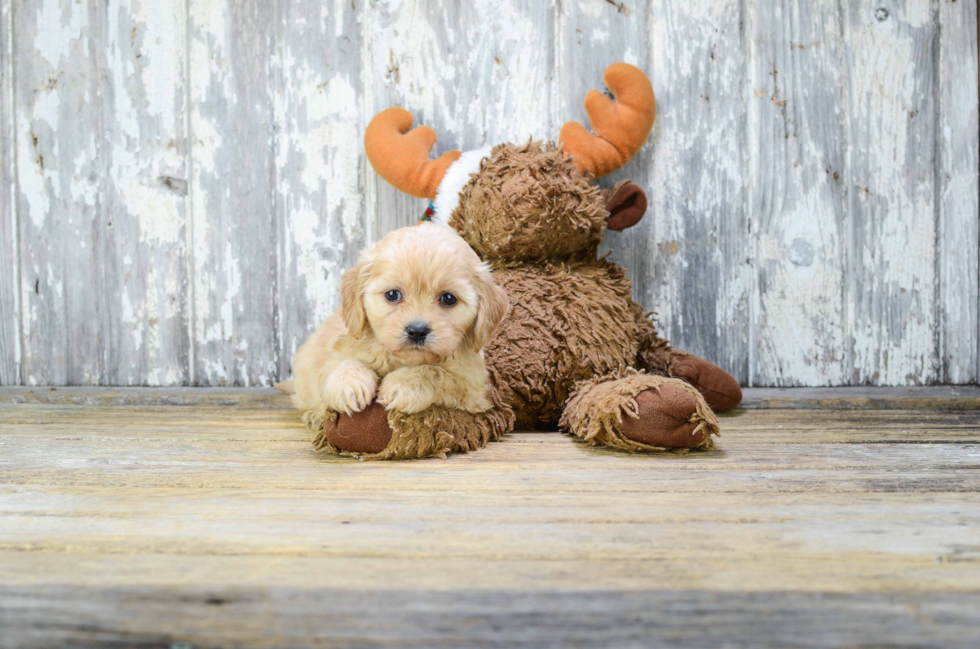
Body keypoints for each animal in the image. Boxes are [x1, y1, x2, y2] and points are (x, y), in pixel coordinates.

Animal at [290, 223, 510, 430]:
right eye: (392, 294)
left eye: (448, 298)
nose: (417, 331)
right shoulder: (339, 349)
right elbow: (342, 362)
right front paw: (348, 384)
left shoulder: (473, 385)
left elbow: (437, 372)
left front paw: (402, 384)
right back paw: (314, 416)